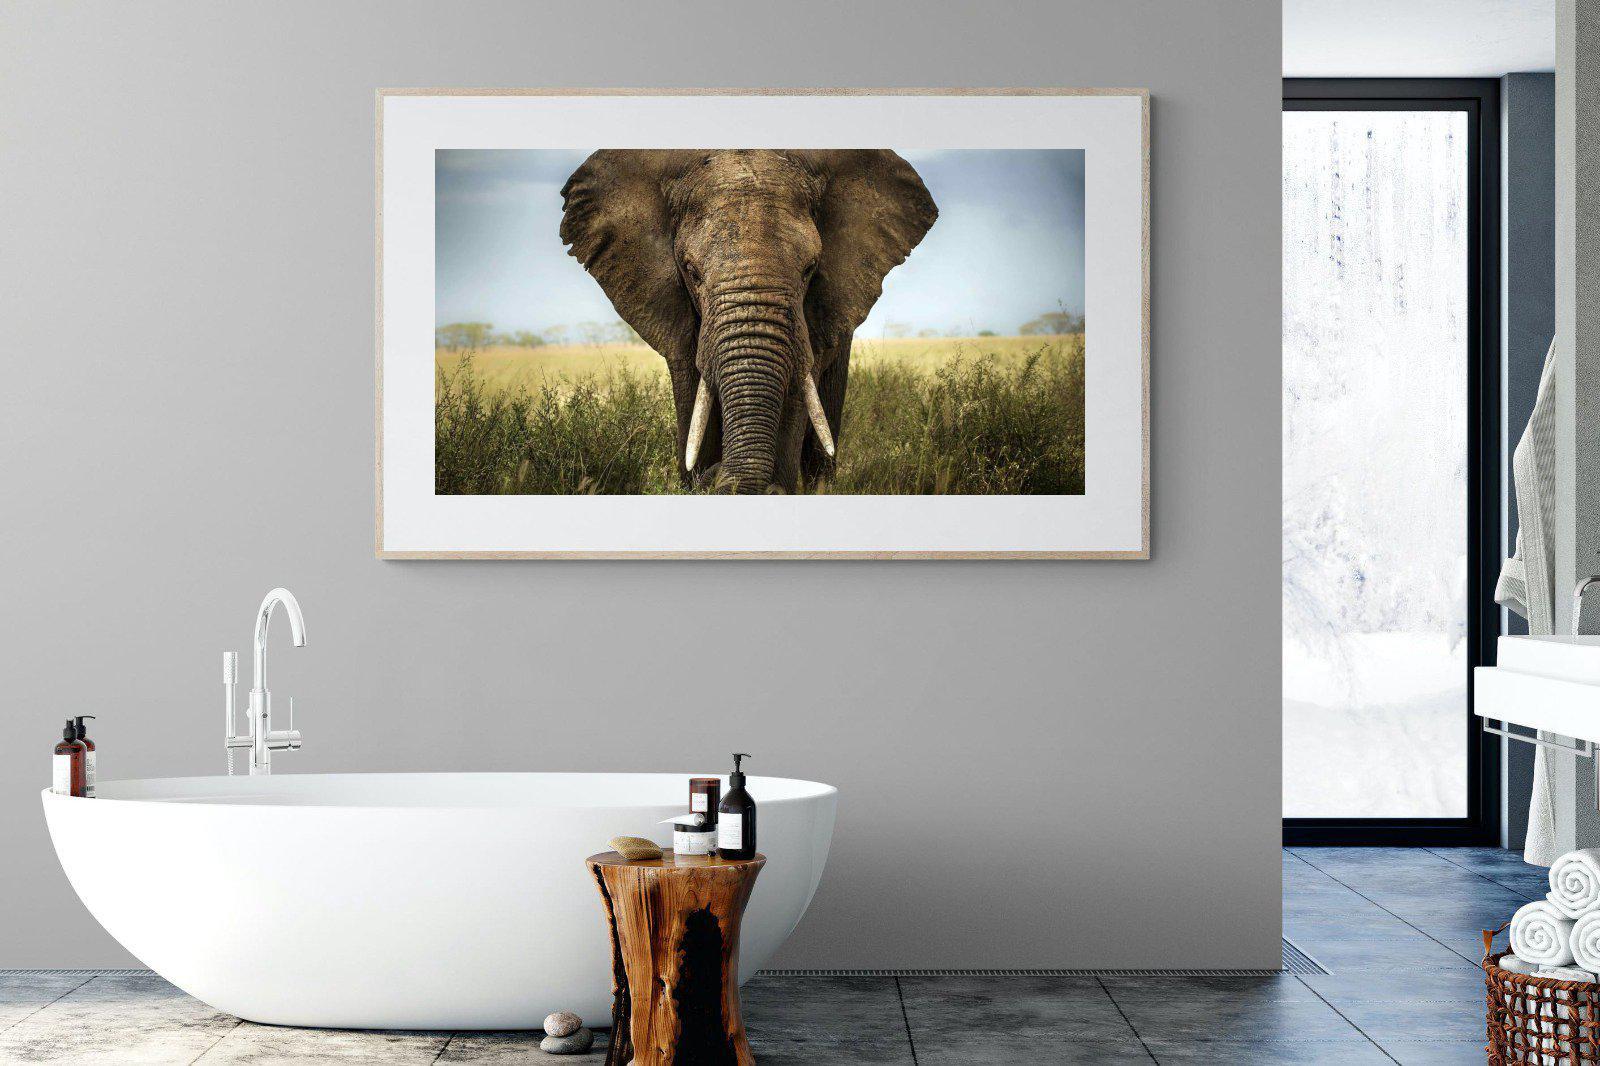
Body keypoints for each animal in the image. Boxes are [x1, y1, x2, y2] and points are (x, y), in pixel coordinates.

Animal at [559, 149, 937, 493]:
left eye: (810, 269)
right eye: (691, 271)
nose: (714, 475)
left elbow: (798, 391)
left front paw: (775, 487)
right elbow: (692, 389)